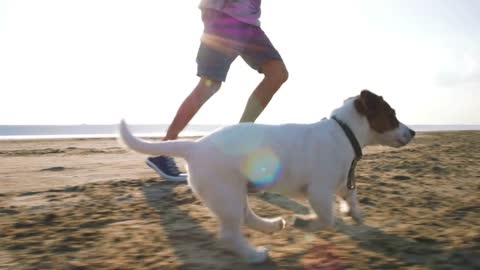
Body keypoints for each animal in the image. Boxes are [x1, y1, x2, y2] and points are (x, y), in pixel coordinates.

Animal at [118, 89, 414, 262]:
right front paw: (306, 223)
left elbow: (351, 195)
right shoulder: (319, 191)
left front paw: (355, 213)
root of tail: (194, 146)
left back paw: (271, 226)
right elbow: (328, 218)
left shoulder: (342, 180)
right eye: (392, 115)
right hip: (227, 195)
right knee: (230, 234)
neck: (344, 132)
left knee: (246, 218)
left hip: (235, 193)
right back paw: (254, 255)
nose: (412, 132)